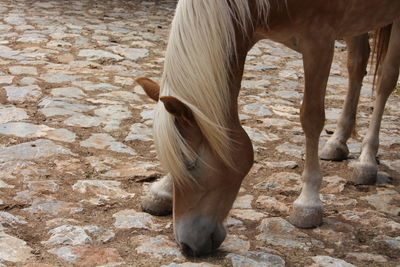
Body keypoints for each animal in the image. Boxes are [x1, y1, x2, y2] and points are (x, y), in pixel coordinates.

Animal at [135, 0, 400, 260]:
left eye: (190, 164)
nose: (187, 245)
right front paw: (162, 190)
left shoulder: (319, 41)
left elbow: (311, 118)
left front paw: (308, 202)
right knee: (357, 65)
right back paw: (337, 142)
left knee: (386, 80)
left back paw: (366, 161)